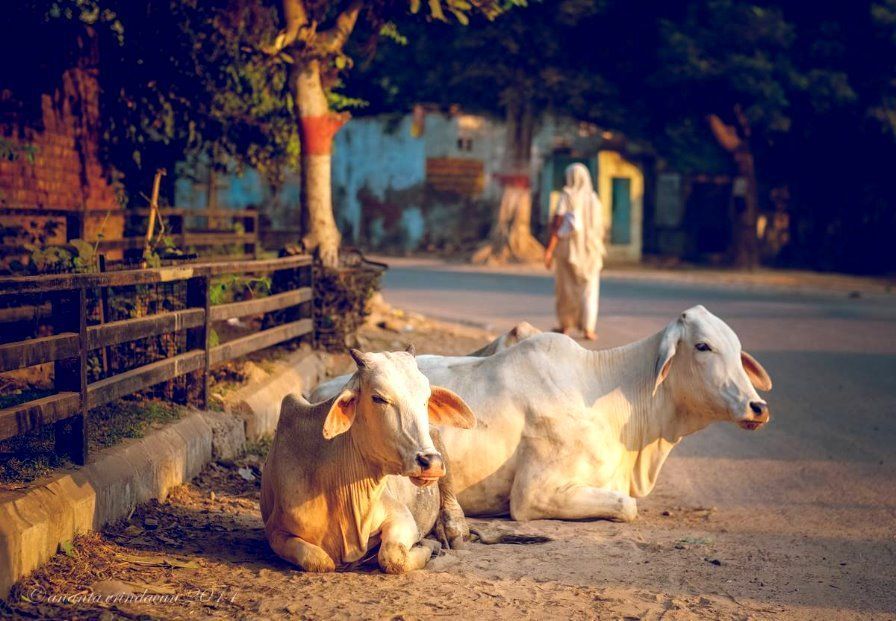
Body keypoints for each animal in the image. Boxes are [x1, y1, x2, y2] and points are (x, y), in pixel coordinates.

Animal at [261, 347, 476, 573]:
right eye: (378, 398)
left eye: (426, 397)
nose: (430, 462)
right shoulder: (275, 530)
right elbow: (321, 561)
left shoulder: (402, 516)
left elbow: (392, 555)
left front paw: (427, 546)